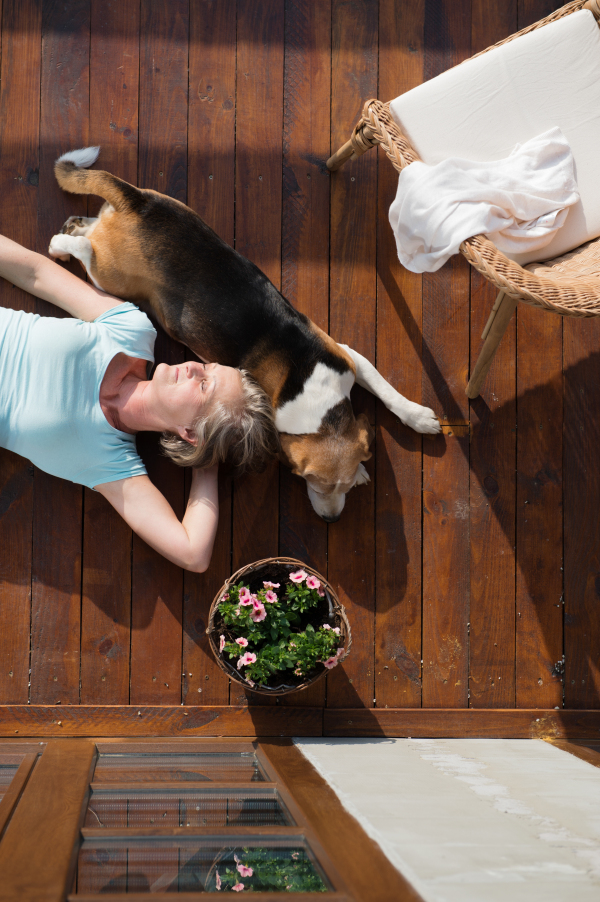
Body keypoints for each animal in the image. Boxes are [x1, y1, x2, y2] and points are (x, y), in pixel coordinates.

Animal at [49, 148, 440, 524]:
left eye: (341, 486)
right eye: (308, 481)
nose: (332, 519)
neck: (314, 393)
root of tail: (138, 202)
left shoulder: (349, 357)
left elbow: (387, 391)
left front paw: (417, 417)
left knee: (86, 227)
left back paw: (74, 228)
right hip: (109, 277)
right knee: (80, 247)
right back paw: (60, 246)